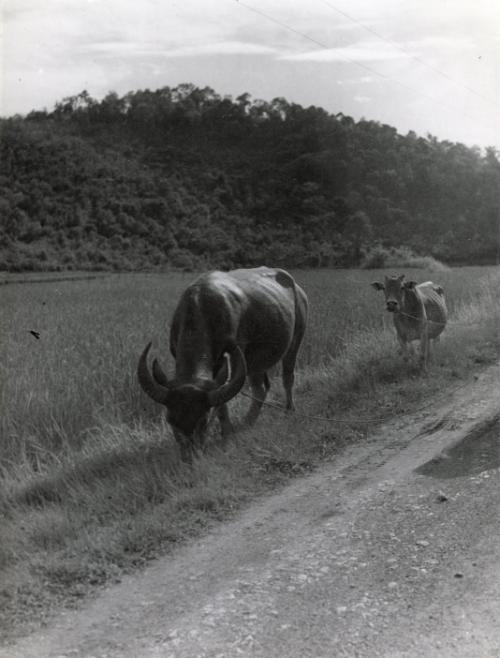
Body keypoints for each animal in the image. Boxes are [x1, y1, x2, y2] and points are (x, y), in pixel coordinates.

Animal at [138, 267, 308, 461]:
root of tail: (297, 289)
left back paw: (288, 410)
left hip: (296, 338)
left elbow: (222, 401)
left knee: (287, 376)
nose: (190, 457)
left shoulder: (234, 353)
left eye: (203, 420)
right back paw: (247, 423)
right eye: (170, 420)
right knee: (262, 387)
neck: (202, 309)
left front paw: (226, 435)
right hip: (255, 361)